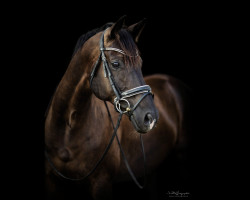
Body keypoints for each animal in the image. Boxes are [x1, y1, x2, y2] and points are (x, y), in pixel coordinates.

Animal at [44, 16, 191, 199]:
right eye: (115, 64)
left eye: (140, 63)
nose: (150, 118)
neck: (67, 131)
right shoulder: (52, 182)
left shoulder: (101, 183)